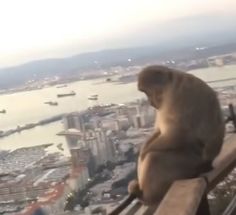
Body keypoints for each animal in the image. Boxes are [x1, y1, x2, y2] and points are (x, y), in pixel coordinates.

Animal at [108, 64, 224, 214]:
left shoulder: (177, 96)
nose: (150, 102)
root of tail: (208, 164)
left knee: (155, 157)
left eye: (147, 92)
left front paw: (144, 153)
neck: (171, 83)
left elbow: (176, 134)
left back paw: (147, 197)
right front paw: (142, 152)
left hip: (189, 164)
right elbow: (159, 130)